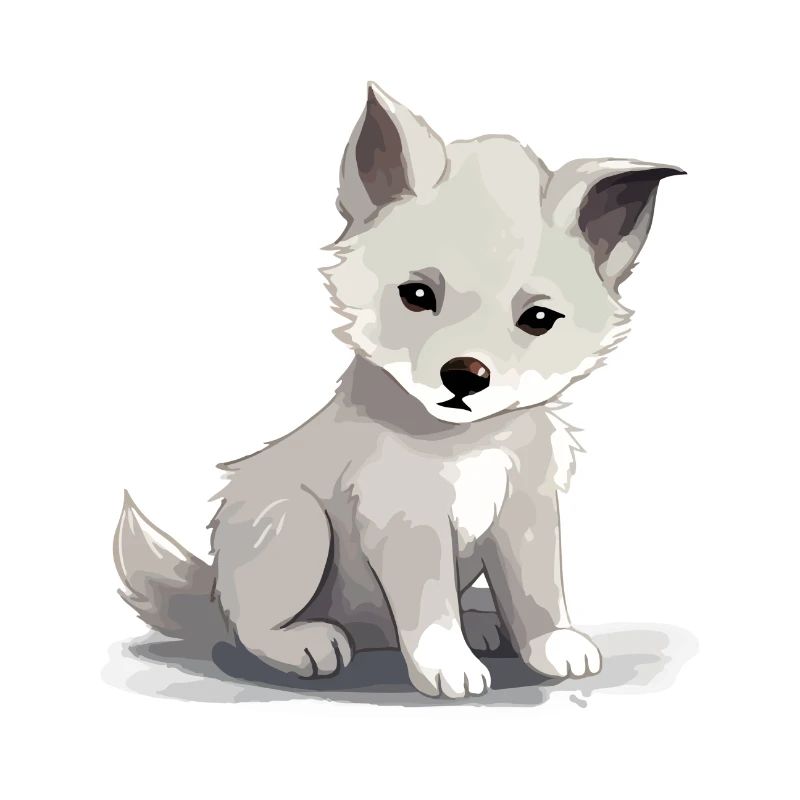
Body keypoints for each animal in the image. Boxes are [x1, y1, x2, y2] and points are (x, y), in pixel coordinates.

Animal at [114, 83, 683, 698]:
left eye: (537, 319)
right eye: (416, 295)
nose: (465, 375)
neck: (468, 443)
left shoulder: (527, 510)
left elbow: (540, 590)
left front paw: (551, 644)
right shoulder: (407, 520)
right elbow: (428, 605)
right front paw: (447, 665)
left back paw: (482, 623)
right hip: (293, 523)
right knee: (249, 624)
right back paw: (307, 643)